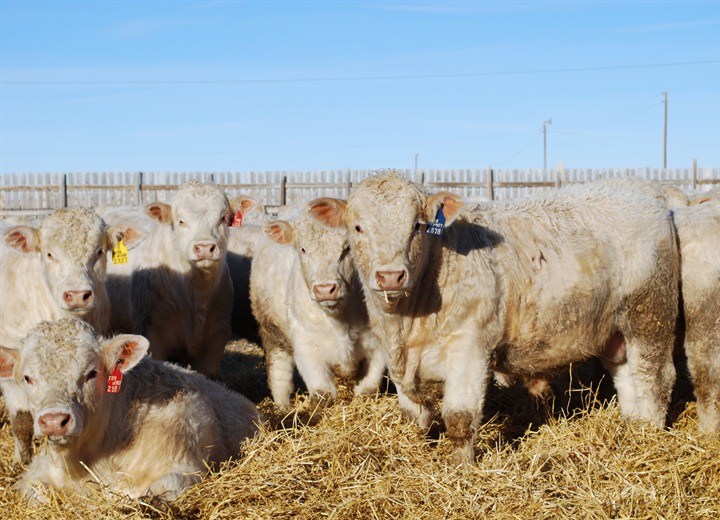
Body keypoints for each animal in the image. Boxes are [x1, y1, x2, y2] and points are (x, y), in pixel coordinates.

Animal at [0, 318, 260, 503]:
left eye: (91, 373)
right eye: (27, 378)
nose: (54, 421)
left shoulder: (183, 469)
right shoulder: (36, 471)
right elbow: (34, 493)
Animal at [250, 209, 385, 409]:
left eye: (347, 248)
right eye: (303, 249)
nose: (325, 289)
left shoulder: (379, 345)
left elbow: (367, 390)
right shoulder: (307, 346)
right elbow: (323, 393)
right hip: (273, 334)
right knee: (280, 376)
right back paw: (283, 408)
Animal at [309, 172, 679, 464]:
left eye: (417, 226)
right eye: (358, 227)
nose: (390, 276)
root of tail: (644, 189)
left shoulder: (470, 348)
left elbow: (459, 418)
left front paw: (461, 468)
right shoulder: (396, 360)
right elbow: (415, 414)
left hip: (649, 314)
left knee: (655, 376)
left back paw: (650, 434)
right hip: (616, 330)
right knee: (628, 375)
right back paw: (634, 426)